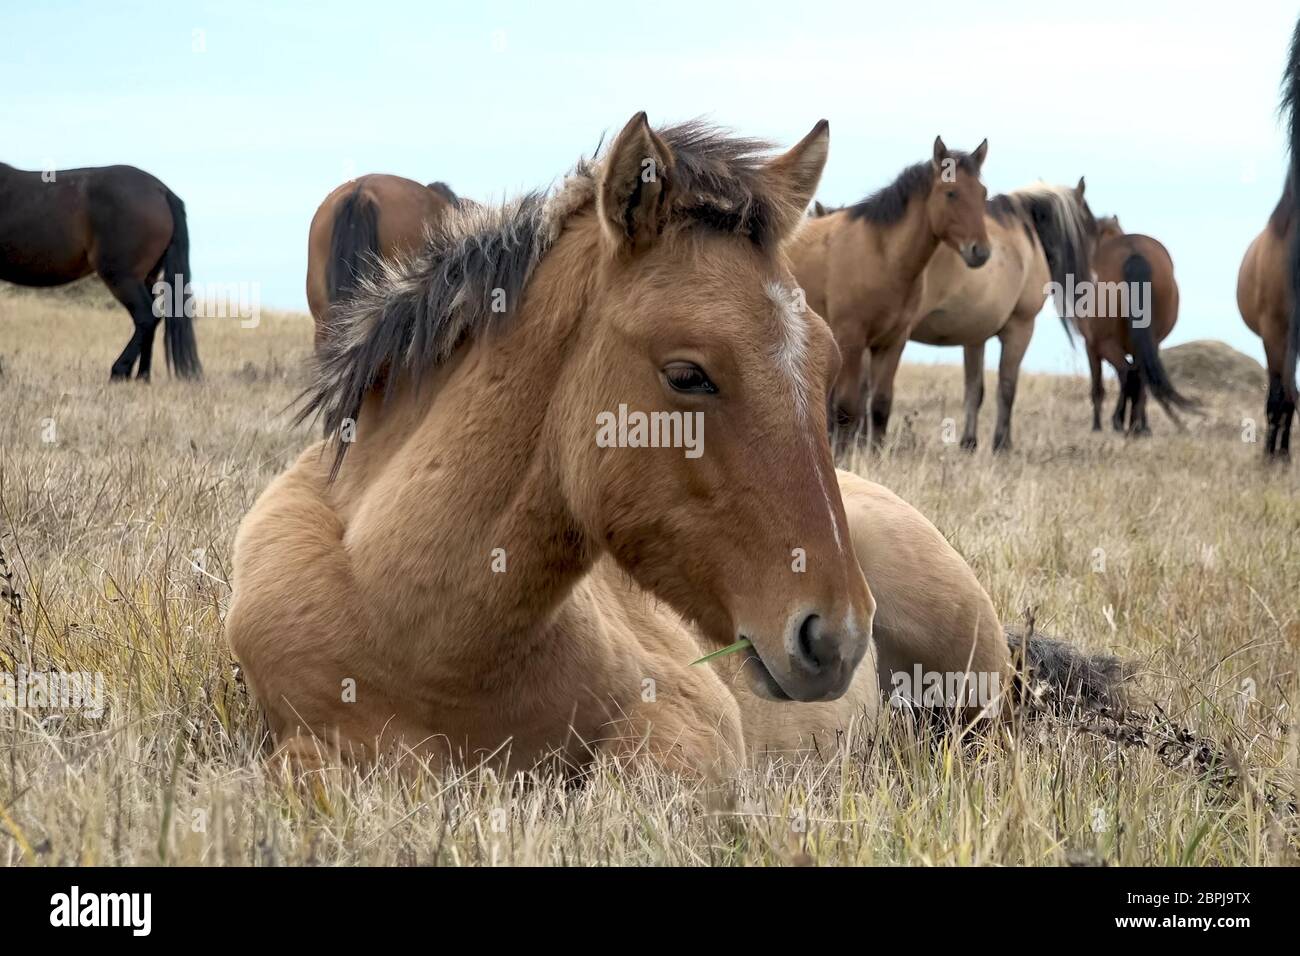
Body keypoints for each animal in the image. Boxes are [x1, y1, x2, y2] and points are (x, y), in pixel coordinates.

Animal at [0, 162, 200, 379]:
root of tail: (161, 190)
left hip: (122, 277)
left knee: (146, 317)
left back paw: (119, 371)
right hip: (147, 277)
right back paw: (142, 376)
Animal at [785, 138, 987, 444]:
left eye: (983, 193)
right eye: (951, 193)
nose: (981, 251)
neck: (883, 256)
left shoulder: (892, 342)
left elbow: (880, 404)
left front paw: (875, 449)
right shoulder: (851, 338)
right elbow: (846, 406)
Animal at [909, 180, 1102, 455]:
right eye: (1090, 227)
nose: (1093, 278)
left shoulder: (974, 337)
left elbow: (974, 390)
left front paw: (969, 442)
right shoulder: (1020, 328)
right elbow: (1007, 387)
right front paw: (1002, 443)